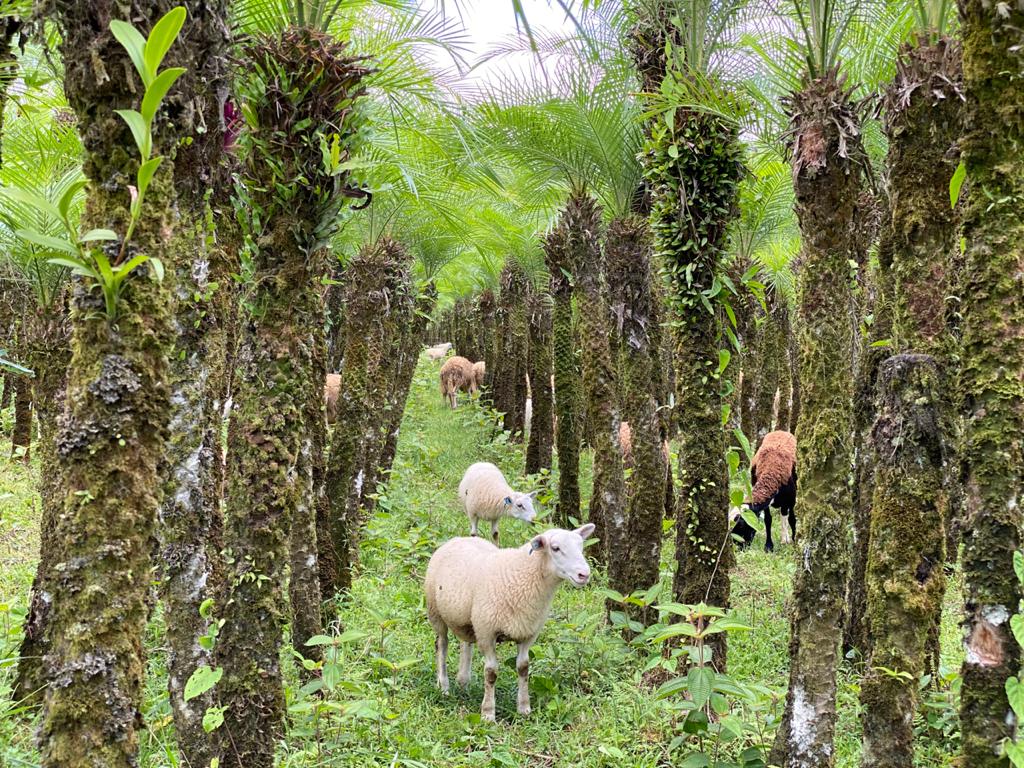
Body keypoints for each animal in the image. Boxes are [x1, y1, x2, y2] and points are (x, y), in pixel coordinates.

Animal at [423, 524, 598, 720]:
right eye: (555, 548)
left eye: (581, 546)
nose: (584, 574)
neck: (522, 573)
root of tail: (458, 539)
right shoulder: (487, 632)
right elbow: (491, 673)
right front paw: (488, 713)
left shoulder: (528, 632)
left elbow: (523, 668)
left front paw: (524, 708)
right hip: (435, 611)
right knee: (441, 644)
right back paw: (443, 686)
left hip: (468, 619)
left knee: (465, 643)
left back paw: (463, 681)